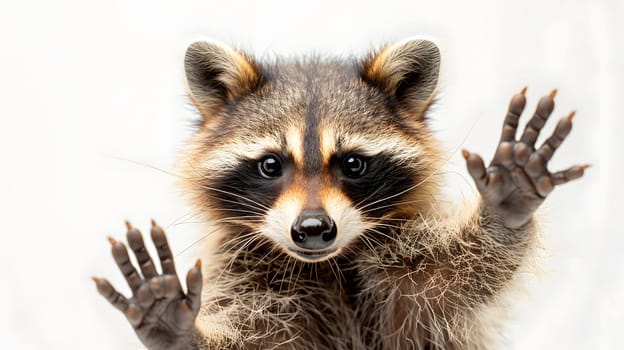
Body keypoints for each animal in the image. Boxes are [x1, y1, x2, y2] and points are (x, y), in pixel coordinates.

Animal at [92, 39, 584, 350]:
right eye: (271, 165)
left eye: (352, 164)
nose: (312, 228)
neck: (327, 265)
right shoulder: (248, 282)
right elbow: (251, 339)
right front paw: (178, 328)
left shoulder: (412, 289)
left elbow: (459, 273)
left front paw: (504, 209)